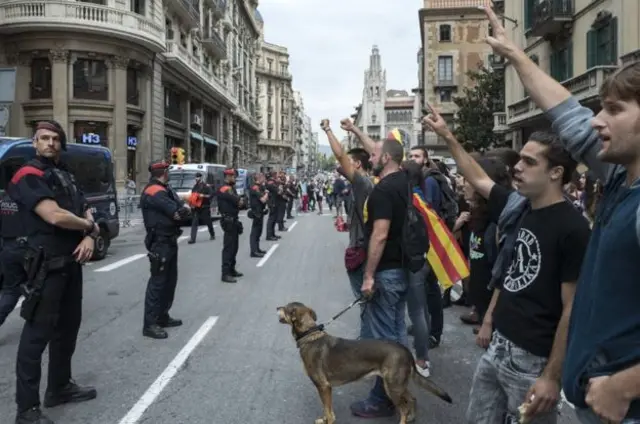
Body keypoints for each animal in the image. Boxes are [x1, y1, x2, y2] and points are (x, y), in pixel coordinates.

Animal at [278, 302, 452, 424]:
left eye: (285, 308)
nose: (276, 307)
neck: (310, 335)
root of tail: (405, 350)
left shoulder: (324, 386)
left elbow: (328, 409)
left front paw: (328, 420)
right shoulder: (324, 388)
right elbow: (326, 409)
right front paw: (324, 419)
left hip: (393, 387)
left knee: (403, 409)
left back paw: (404, 419)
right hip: (398, 385)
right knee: (412, 399)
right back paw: (412, 417)